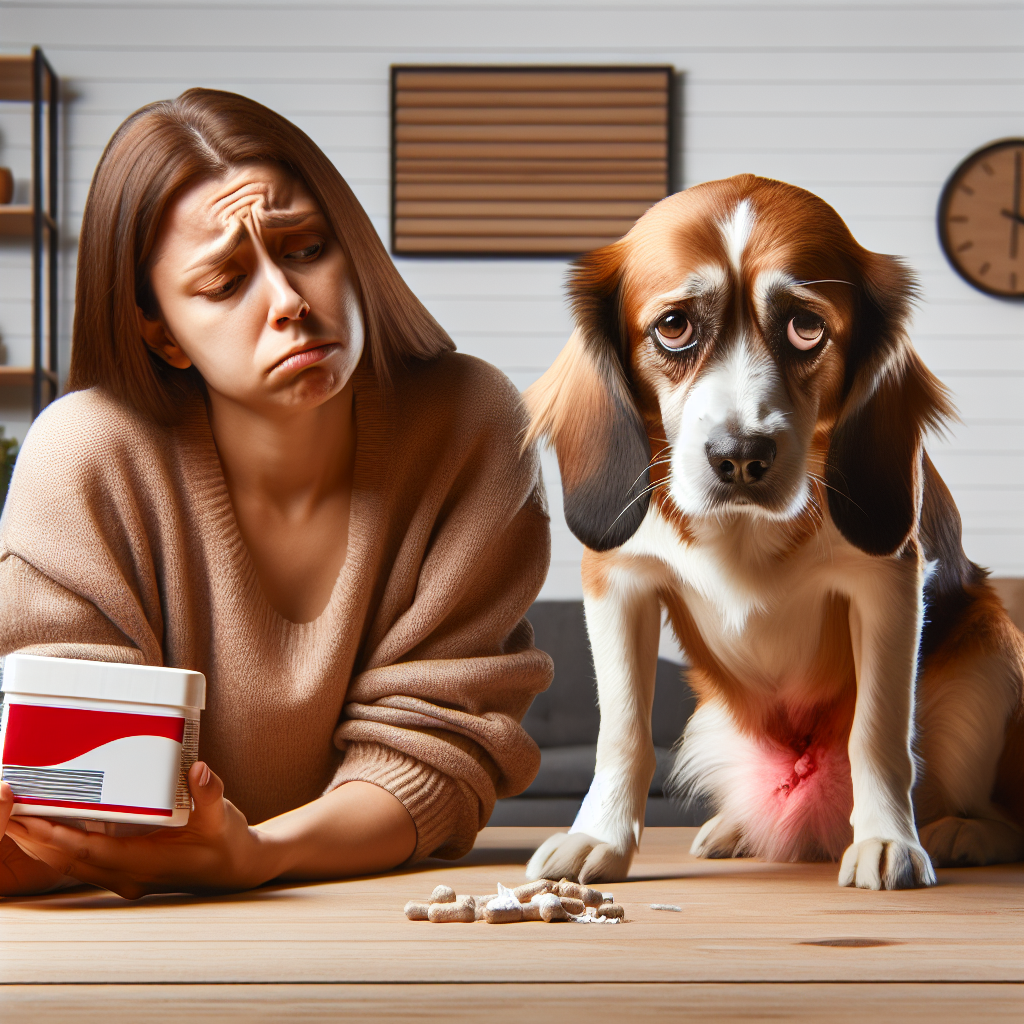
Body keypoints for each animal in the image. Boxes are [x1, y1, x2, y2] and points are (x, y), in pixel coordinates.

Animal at [524, 174, 1019, 888]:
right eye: (674, 326)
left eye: (806, 327)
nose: (739, 456)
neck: (742, 530)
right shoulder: (618, 583)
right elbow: (622, 732)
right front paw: (600, 838)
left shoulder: (887, 583)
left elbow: (878, 732)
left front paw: (887, 840)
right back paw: (739, 828)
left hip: (994, 651)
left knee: (996, 805)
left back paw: (966, 832)